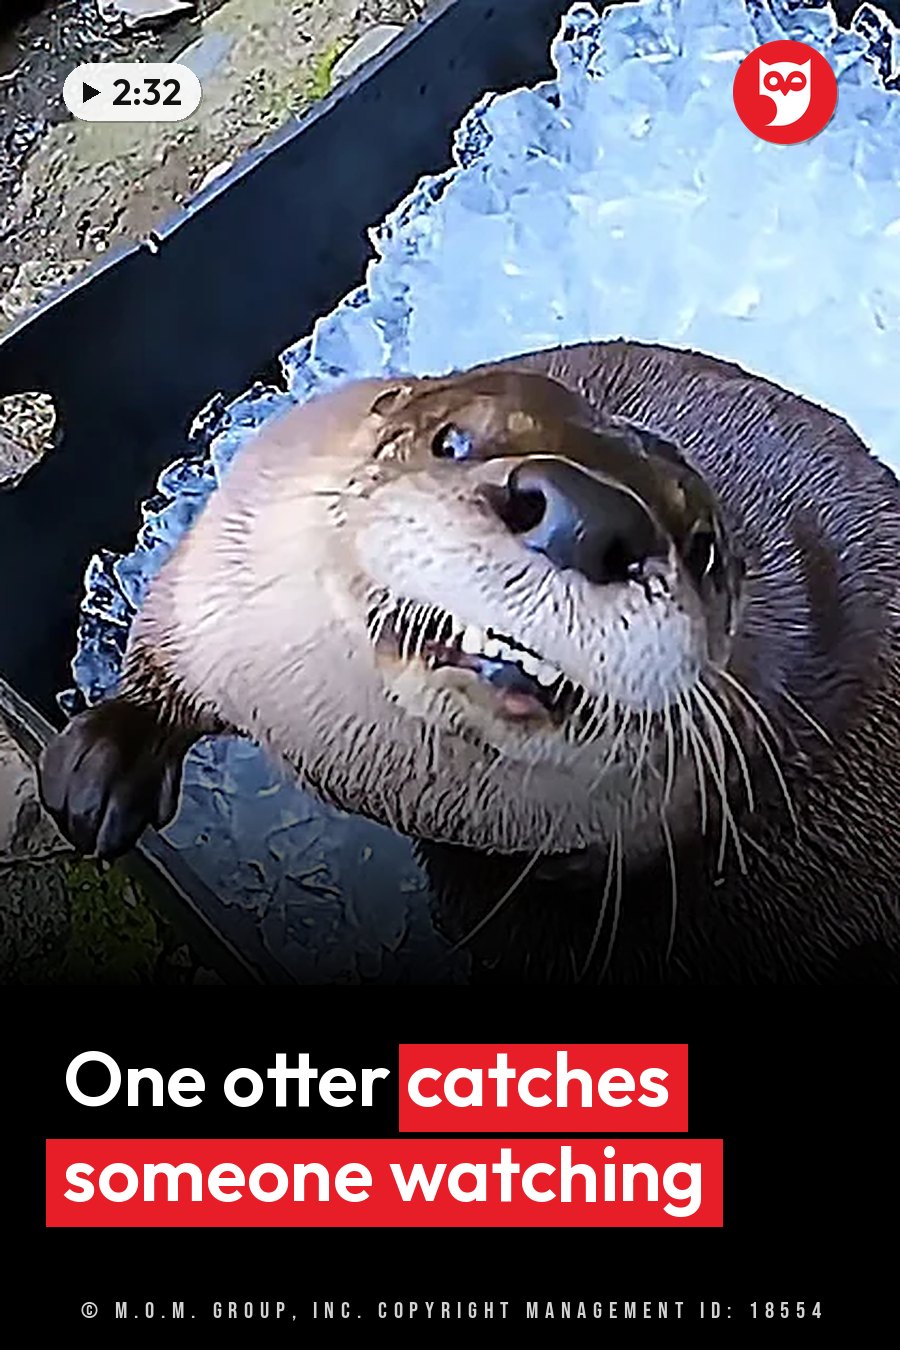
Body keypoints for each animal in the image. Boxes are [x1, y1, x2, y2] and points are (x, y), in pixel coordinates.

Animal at [37, 341, 900, 983]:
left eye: (706, 549)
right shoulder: (221, 577)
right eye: (450, 439)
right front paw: (102, 766)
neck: (381, 781)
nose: (590, 519)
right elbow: (160, 658)